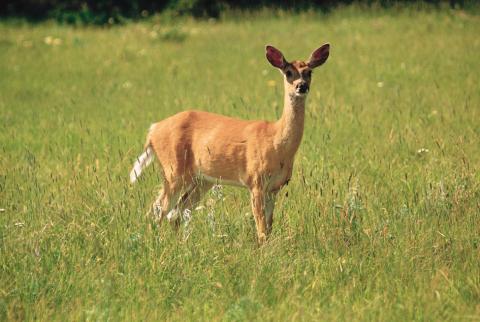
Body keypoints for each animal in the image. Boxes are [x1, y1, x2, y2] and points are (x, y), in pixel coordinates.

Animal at [127, 43, 330, 244]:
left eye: (309, 72)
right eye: (288, 72)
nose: (301, 86)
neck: (277, 142)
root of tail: (153, 130)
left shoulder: (275, 188)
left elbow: (269, 226)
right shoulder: (255, 181)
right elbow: (261, 228)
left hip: (202, 180)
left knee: (174, 213)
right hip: (173, 171)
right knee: (157, 211)